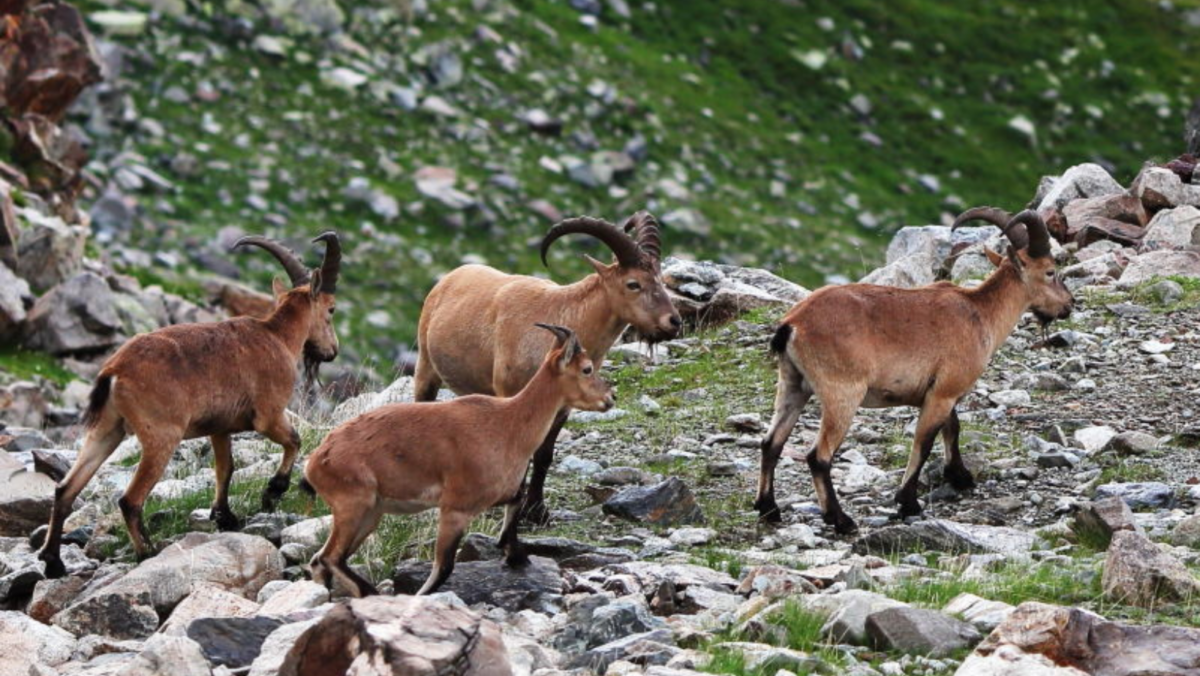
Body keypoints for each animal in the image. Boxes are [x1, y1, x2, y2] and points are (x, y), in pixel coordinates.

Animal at [38, 233, 342, 577]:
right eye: (331, 309)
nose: (332, 351)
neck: (277, 337)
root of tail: (113, 371)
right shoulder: (268, 414)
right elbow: (294, 440)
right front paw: (272, 492)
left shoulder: (220, 427)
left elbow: (225, 468)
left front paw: (225, 516)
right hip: (161, 435)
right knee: (130, 499)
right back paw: (146, 551)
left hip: (107, 430)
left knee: (65, 489)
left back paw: (54, 562)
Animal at [304, 323, 613, 597]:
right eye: (587, 369)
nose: (610, 397)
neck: (509, 424)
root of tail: (316, 461)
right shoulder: (455, 508)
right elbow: (444, 567)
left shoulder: (496, 494)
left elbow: (515, 503)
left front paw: (514, 554)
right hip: (354, 505)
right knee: (331, 557)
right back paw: (366, 592)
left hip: (371, 513)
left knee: (320, 559)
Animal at [413, 212, 680, 524]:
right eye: (633, 283)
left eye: (660, 278)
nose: (674, 322)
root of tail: (449, 278)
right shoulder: (509, 394)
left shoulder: (563, 405)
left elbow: (544, 454)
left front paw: (537, 511)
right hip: (426, 368)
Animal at [756, 209, 1074, 534]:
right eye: (1050, 271)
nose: (1069, 304)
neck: (980, 313)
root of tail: (792, 325)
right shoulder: (943, 393)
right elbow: (925, 442)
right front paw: (908, 502)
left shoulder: (942, 392)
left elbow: (952, 428)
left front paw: (960, 477)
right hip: (842, 393)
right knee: (818, 456)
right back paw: (840, 519)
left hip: (793, 384)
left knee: (771, 443)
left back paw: (769, 509)